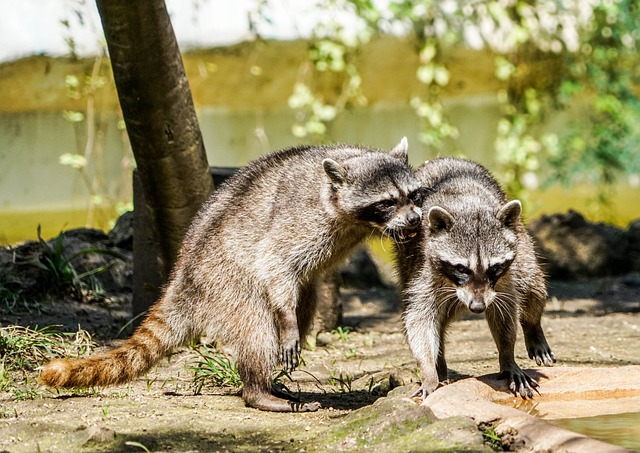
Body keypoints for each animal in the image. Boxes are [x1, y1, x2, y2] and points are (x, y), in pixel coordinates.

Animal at [42, 139, 428, 414]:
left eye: (413, 196)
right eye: (386, 202)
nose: (414, 220)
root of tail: (183, 277)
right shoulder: (300, 219)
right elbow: (274, 261)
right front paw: (284, 326)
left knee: (304, 304)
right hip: (224, 281)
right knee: (258, 328)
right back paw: (258, 389)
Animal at [396, 156, 556, 400]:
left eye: (494, 268)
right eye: (461, 268)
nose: (478, 307)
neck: (469, 208)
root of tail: (447, 158)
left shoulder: (503, 279)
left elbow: (505, 309)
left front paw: (507, 356)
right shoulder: (424, 267)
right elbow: (419, 318)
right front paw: (428, 370)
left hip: (522, 241)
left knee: (531, 285)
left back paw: (533, 327)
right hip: (405, 262)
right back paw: (439, 364)